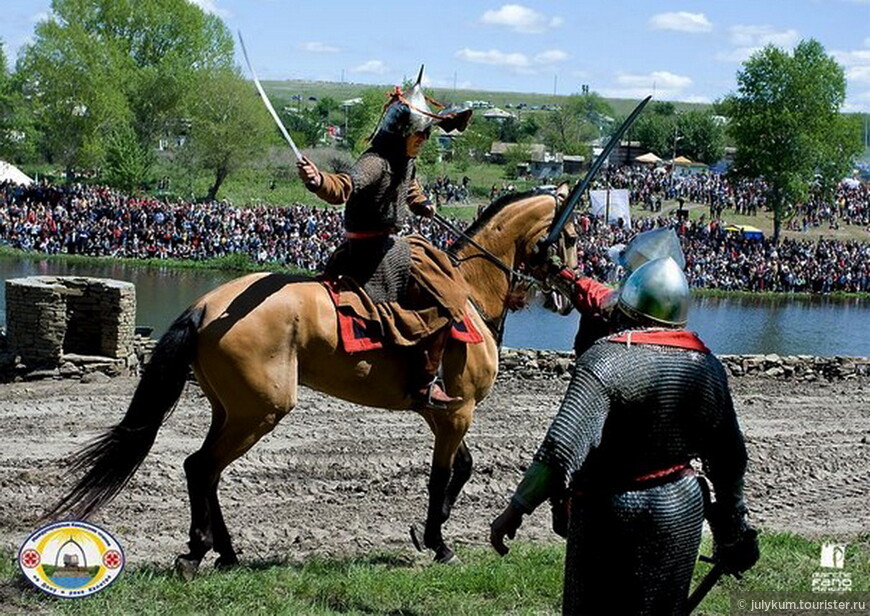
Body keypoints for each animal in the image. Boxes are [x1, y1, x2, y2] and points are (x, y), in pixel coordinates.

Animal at [47, 185, 580, 576]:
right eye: (575, 236)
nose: (569, 292)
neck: (468, 291)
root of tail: (206, 305)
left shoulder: (444, 414)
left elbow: (463, 469)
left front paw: (429, 532)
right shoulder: (458, 411)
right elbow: (441, 476)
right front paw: (437, 541)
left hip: (232, 410)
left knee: (205, 469)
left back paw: (225, 552)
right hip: (260, 412)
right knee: (202, 467)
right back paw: (200, 551)